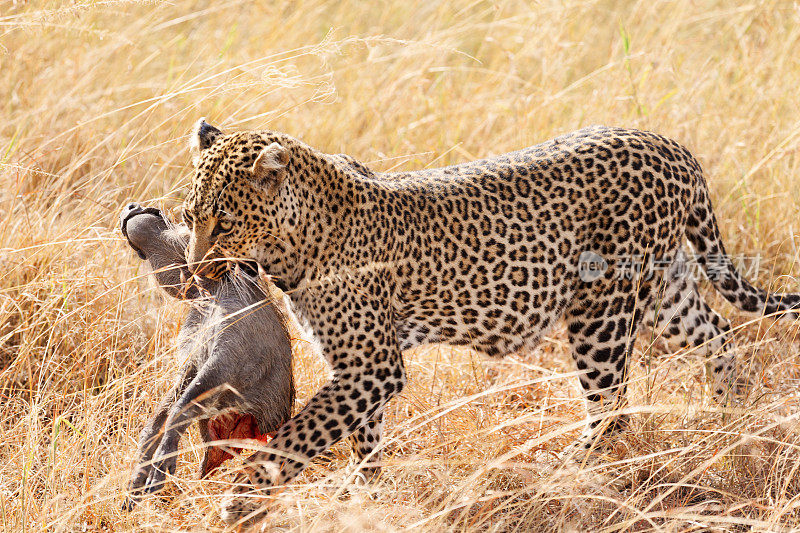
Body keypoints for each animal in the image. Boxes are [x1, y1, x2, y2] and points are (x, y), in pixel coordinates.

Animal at [180, 118, 800, 520]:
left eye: (225, 223)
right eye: (189, 216)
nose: (192, 274)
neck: (293, 240)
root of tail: (670, 145)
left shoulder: (373, 364)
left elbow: (299, 436)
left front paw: (244, 498)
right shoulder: (358, 367)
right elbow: (362, 437)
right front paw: (362, 496)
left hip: (602, 309)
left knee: (613, 407)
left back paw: (558, 471)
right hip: (664, 287)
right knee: (718, 332)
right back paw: (729, 417)